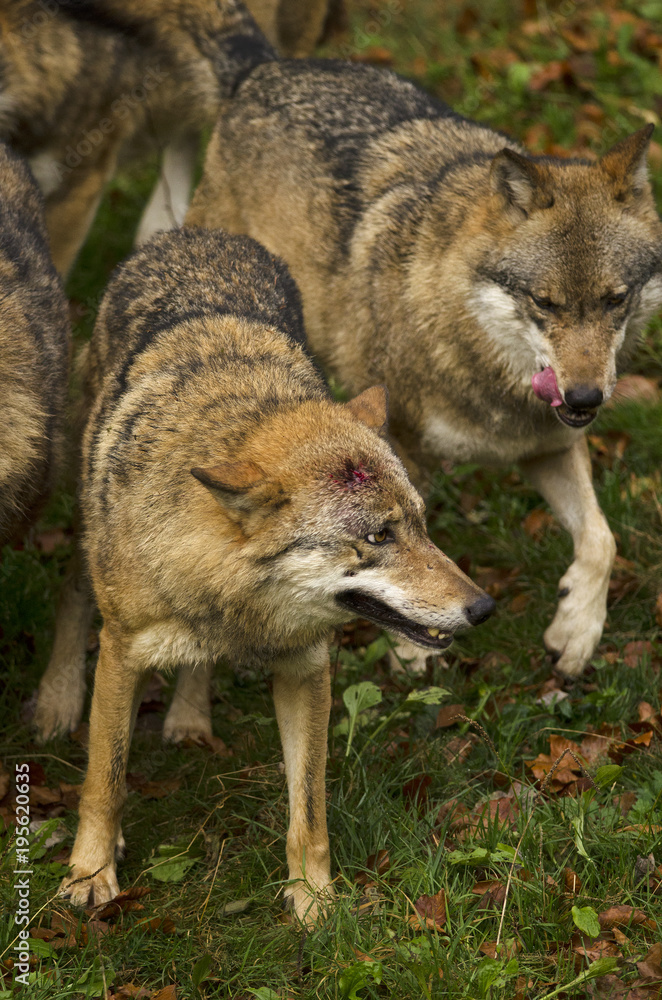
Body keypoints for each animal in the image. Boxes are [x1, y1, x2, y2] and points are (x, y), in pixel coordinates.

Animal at [58, 227, 494, 922]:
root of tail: (198, 234)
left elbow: (308, 811)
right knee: (76, 598)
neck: (237, 606)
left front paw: (315, 903)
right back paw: (55, 701)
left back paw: (190, 720)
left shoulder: (307, 669)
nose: (483, 608)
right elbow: (105, 779)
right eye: (379, 537)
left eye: (421, 526)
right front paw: (91, 874)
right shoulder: (123, 655)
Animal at [186, 53, 662, 677]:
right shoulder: (402, 450)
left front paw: (576, 630)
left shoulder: (549, 447)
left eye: (614, 300)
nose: (586, 399)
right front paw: (413, 645)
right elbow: (405, 558)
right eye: (545, 302)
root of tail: (264, 63)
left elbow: (603, 541)